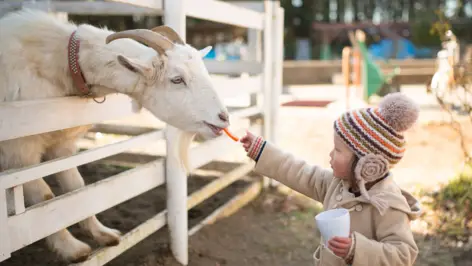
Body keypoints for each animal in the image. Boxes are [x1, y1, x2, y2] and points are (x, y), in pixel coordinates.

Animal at [0, 9, 230, 262]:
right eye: (177, 79)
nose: (224, 118)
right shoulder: (20, 152)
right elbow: (45, 197)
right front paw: (73, 249)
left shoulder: (62, 145)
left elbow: (77, 188)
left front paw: (103, 234)